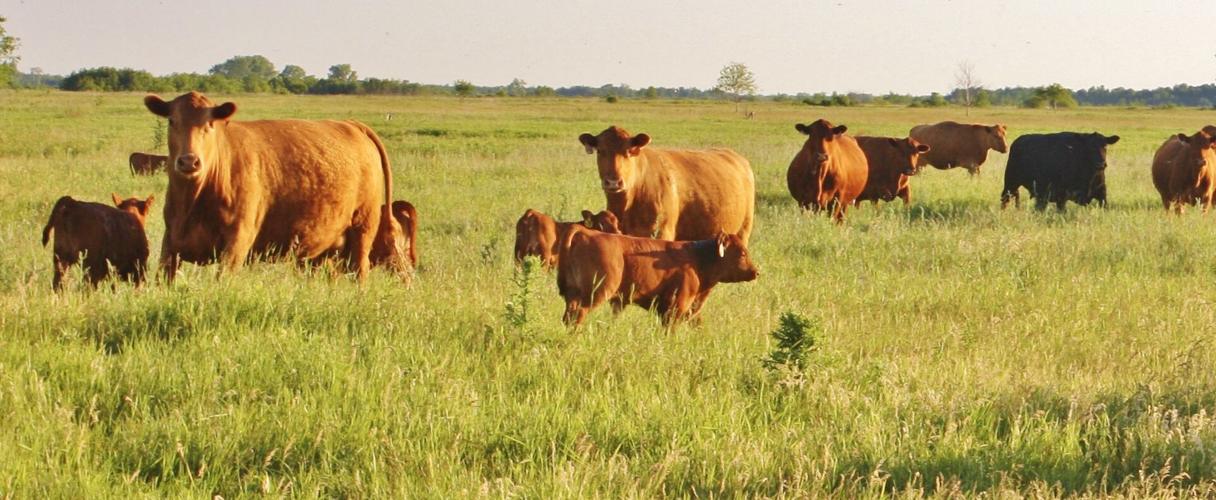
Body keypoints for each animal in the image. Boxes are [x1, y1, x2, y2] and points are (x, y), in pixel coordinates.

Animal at [143, 91, 405, 282]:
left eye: (210, 124)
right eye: (172, 121)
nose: (189, 161)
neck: (194, 200)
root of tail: (351, 125)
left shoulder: (237, 240)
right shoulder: (171, 242)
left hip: (363, 227)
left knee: (360, 271)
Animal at [557, 226, 758, 326]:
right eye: (742, 253)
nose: (756, 271)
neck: (697, 259)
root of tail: (587, 232)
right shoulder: (677, 307)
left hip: (573, 294)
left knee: (569, 315)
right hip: (597, 292)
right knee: (579, 314)